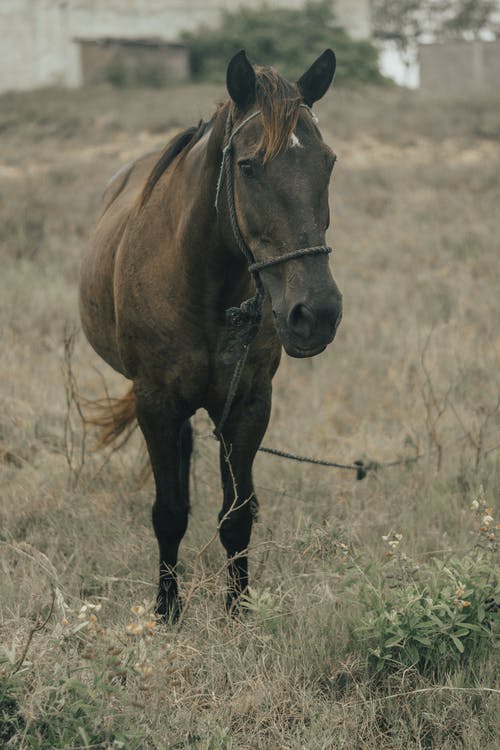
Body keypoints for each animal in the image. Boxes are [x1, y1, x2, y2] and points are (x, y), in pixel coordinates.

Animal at [79, 48, 344, 624]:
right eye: (247, 166)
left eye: (329, 162)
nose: (316, 313)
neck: (200, 283)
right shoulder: (156, 402)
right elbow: (169, 512)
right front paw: (166, 609)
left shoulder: (247, 405)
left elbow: (237, 514)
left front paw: (238, 610)